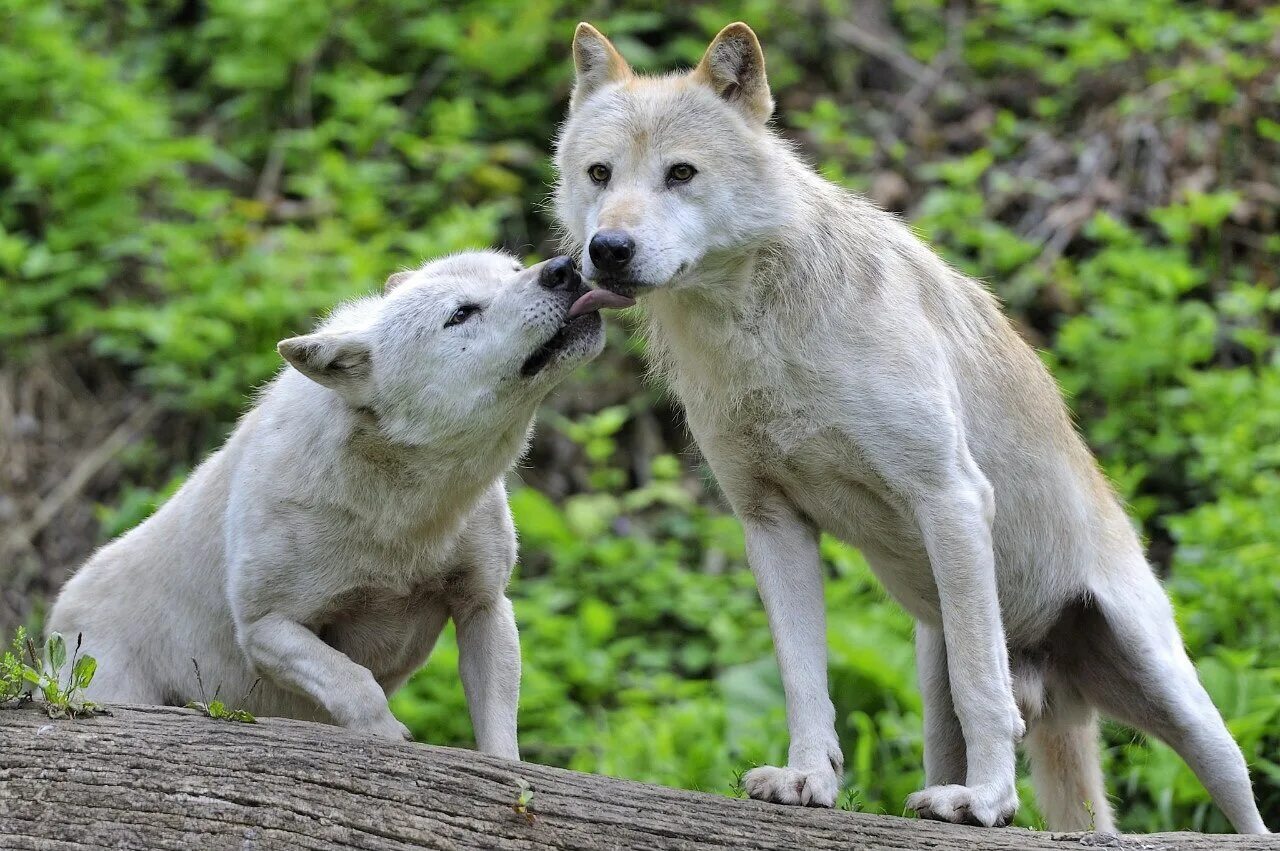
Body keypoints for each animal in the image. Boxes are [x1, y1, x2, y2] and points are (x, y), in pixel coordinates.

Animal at [47, 246, 606, 757]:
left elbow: (499, 731)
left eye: (513, 269)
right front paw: (389, 735)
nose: (564, 267)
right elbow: (354, 681)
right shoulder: (266, 628)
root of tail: (58, 614)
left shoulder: (484, 604)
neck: (405, 511)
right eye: (461, 314)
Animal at [550, 21, 1269, 834]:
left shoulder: (949, 497)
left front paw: (986, 803)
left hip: (1180, 704)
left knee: (1241, 801)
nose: (608, 249)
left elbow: (985, 690)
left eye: (681, 173)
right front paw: (808, 780)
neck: (759, 329)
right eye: (600, 174)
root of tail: (1058, 684)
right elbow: (804, 680)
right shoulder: (770, 522)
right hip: (934, 667)